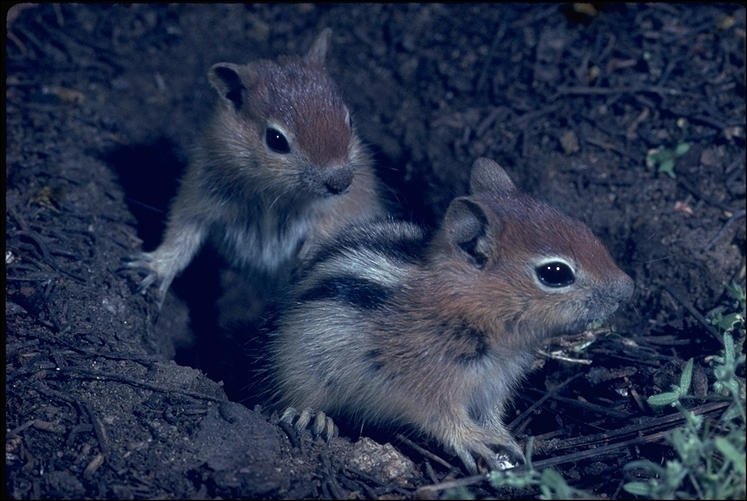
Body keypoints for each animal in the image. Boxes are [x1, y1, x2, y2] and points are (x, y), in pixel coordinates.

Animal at [123, 29, 386, 306]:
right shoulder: (200, 193)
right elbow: (181, 234)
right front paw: (156, 267)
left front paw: (312, 249)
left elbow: (340, 220)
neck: (274, 192)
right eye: (276, 140)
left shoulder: (356, 199)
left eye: (350, 120)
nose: (340, 182)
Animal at [272, 156, 636, 472]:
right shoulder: (424, 384)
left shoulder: (493, 386)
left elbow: (491, 415)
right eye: (555, 273)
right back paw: (313, 416)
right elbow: (442, 419)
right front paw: (473, 439)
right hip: (302, 369)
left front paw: (504, 438)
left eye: (581, 227)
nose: (628, 288)